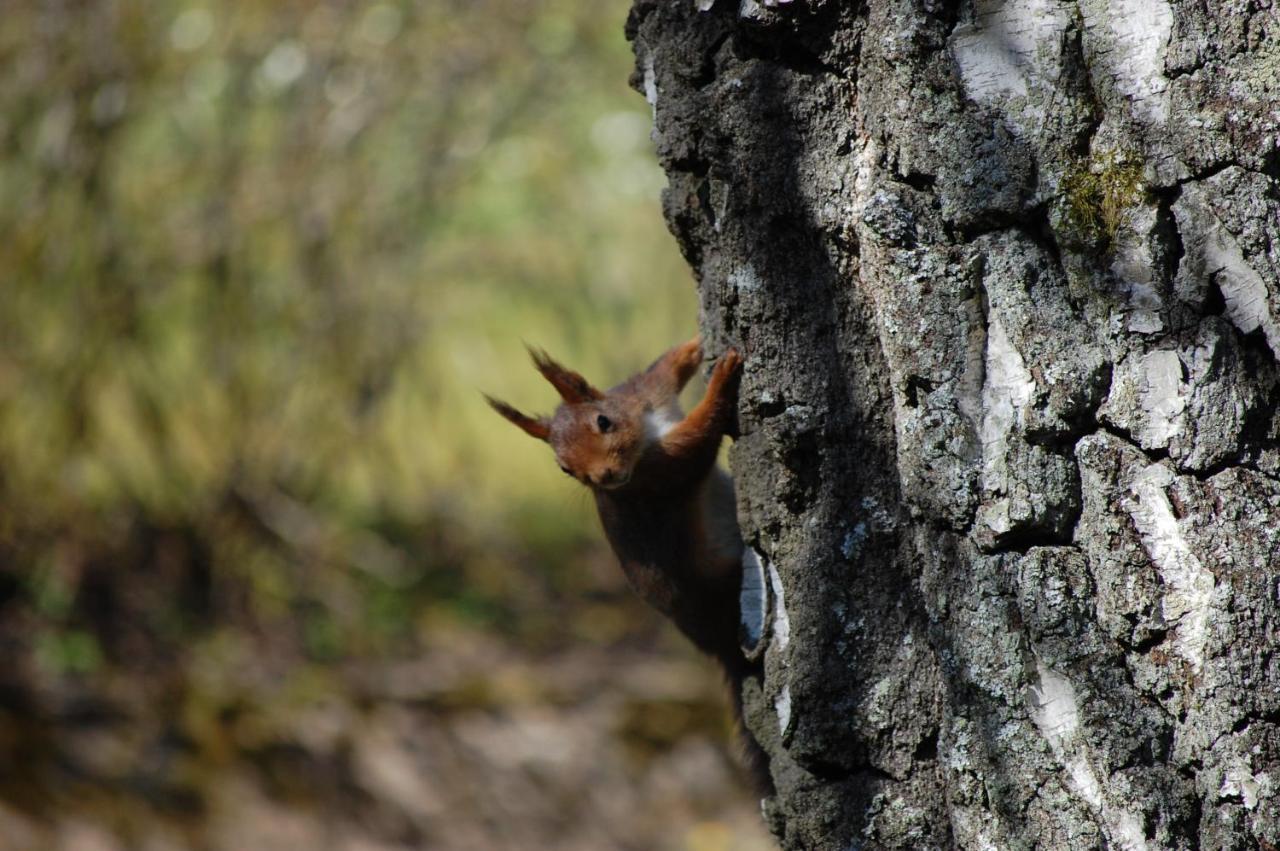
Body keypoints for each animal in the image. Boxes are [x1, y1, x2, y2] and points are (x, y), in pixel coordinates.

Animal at [483, 337, 768, 788]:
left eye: (603, 421)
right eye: (564, 469)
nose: (605, 477)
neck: (648, 432)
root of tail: (718, 645)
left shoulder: (646, 392)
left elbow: (668, 365)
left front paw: (699, 347)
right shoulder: (656, 476)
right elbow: (698, 441)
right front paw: (722, 379)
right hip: (722, 585)